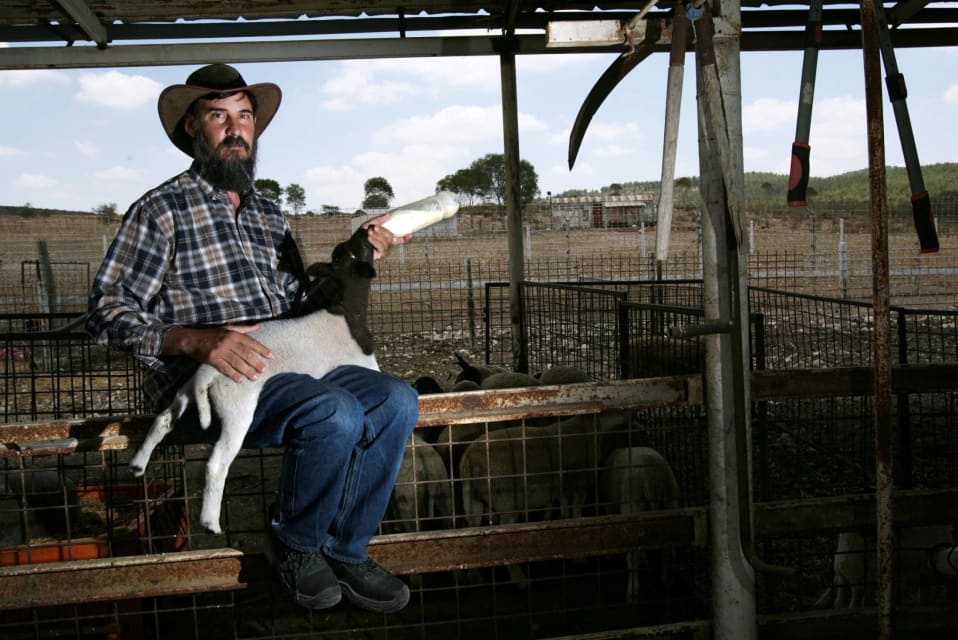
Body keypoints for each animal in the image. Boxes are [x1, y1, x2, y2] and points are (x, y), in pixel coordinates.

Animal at [128, 228, 382, 532]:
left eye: (345, 250)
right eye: (359, 249)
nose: (366, 230)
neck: (346, 309)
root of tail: (208, 373)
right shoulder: (364, 358)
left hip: (186, 392)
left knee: (164, 419)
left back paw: (137, 464)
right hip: (237, 406)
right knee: (217, 463)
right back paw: (210, 522)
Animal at [604, 448, 680, 604]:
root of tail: (653, 472)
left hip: (633, 504)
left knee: (633, 556)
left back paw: (632, 592)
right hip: (671, 500)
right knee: (669, 545)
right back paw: (667, 579)